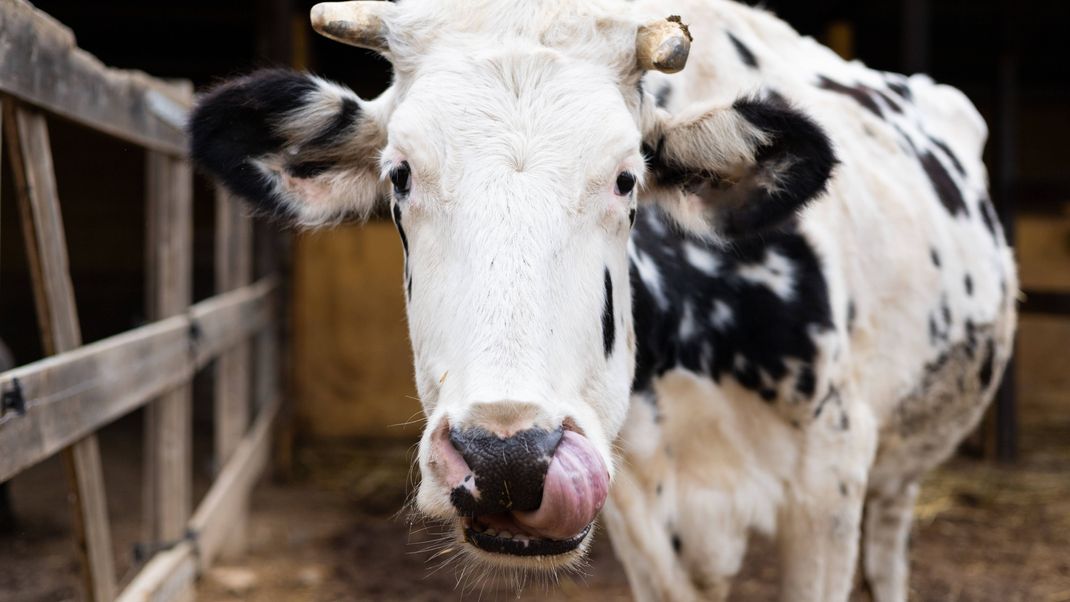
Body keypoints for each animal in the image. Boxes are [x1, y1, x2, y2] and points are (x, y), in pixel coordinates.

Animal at [188, 0, 1014, 598]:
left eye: (626, 178)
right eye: (401, 174)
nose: (508, 456)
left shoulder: (830, 482)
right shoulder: (644, 506)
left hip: (901, 459)